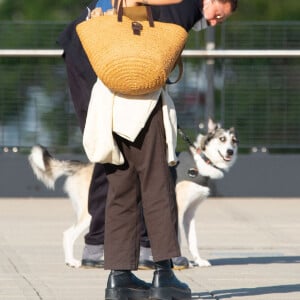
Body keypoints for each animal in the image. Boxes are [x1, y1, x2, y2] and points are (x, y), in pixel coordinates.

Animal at [28, 118, 239, 268]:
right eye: (222, 139)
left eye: (234, 141)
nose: (230, 151)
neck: (201, 161)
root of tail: (83, 166)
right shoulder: (176, 209)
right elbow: (177, 238)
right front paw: (177, 261)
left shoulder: (189, 215)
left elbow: (193, 240)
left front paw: (198, 260)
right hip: (91, 213)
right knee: (68, 234)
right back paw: (72, 261)